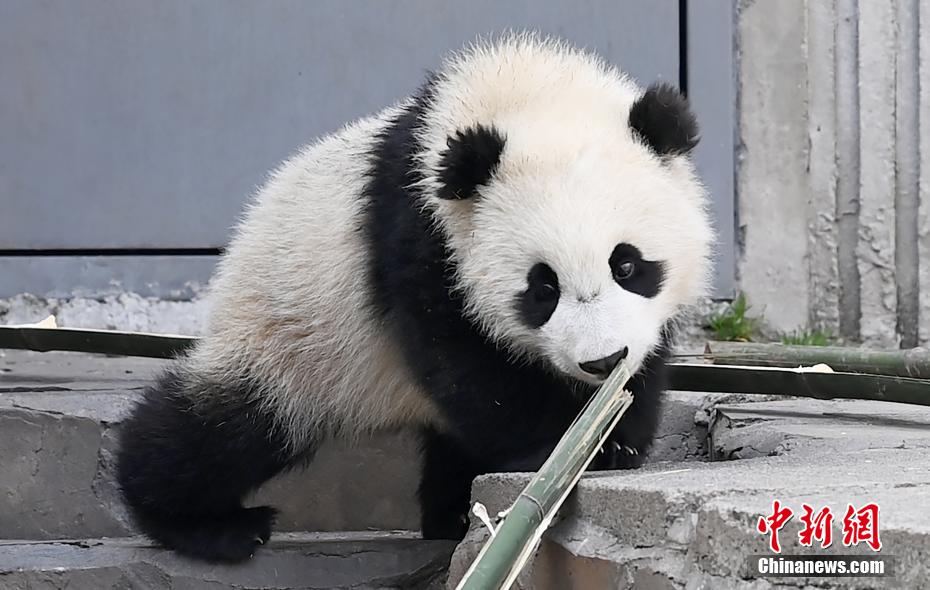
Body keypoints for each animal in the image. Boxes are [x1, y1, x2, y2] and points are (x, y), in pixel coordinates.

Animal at [116, 34, 713, 563]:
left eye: (627, 264)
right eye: (542, 288)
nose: (601, 361)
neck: (526, 93)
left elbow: (644, 361)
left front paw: (615, 436)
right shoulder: (419, 231)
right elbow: (463, 362)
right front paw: (559, 446)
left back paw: (449, 514)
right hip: (287, 334)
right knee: (221, 429)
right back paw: (209, 525)